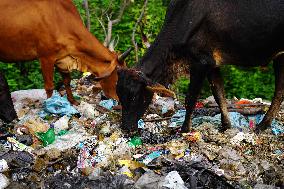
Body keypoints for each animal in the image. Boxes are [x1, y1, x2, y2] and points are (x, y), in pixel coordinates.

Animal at [0, 0, 128, 105]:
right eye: (118, 78)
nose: (119, 101)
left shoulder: (62, 58)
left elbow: (67, 81)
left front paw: (73, 101)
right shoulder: (46, 58)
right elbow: (49, 86)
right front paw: (50, 107)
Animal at [116, 0, 284, 132]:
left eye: (134, 96)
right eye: (119, 95)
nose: (126, 128)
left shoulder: (200, 62)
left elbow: (190, 99)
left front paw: (185, 129)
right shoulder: (212, 64)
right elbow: (219, 95)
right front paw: (226, 126)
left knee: (279, 92)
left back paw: (262, 125)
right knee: (280, 92)